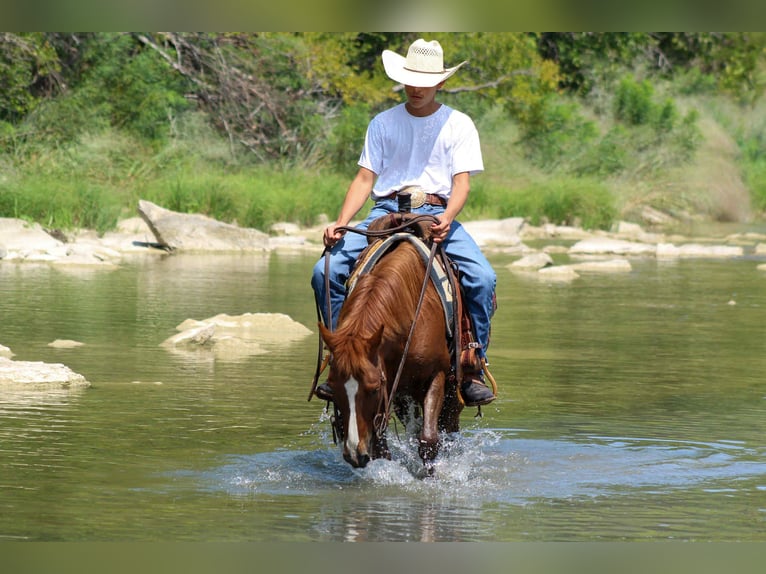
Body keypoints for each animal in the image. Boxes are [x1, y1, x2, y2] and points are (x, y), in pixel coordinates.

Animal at [317, 229, 463, 472]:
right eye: (334, 387)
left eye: (374, 389)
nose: (354, 454)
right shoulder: (391, 392)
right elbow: (382, 450)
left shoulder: (437, 374)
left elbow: (429, 441)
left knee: (449, 425)